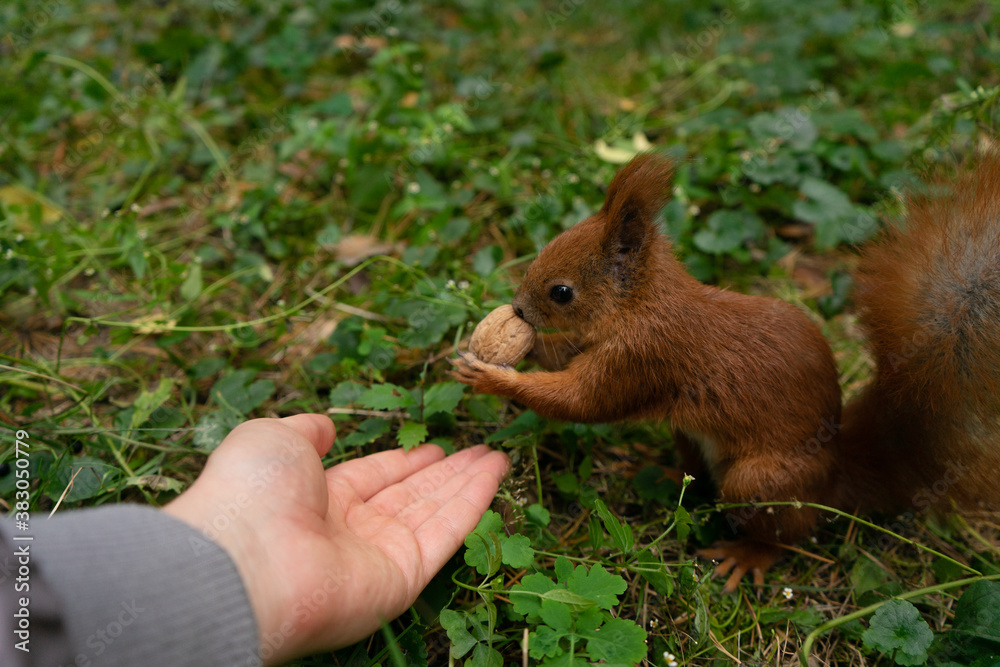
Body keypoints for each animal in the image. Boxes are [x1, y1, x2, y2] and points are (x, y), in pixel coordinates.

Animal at [449, 151, 1000, 592]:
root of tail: (835, 476)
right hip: (690, 436)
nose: (518, 309)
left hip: (759, 481)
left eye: (562, 292)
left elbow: (585, 402)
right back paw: (664, 474)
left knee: (786, 535)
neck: (641, 303)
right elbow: (567, 365)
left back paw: (746, 555)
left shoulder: (645, 355)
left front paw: (493, 377)